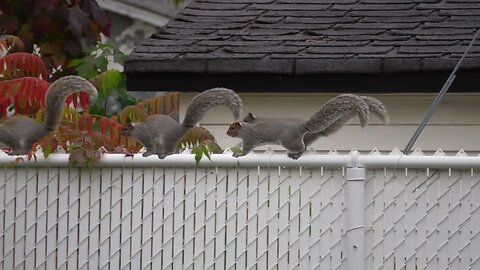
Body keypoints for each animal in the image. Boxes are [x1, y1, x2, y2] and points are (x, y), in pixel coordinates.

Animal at [227, 94, 388, 159]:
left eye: (232, 128)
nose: (227, 133)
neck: (246, 127)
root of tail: (301, 128)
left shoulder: (250, 138)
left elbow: (246, 149)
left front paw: (239, 154)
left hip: (288, 141)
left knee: (302, 147)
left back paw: (296, 154)